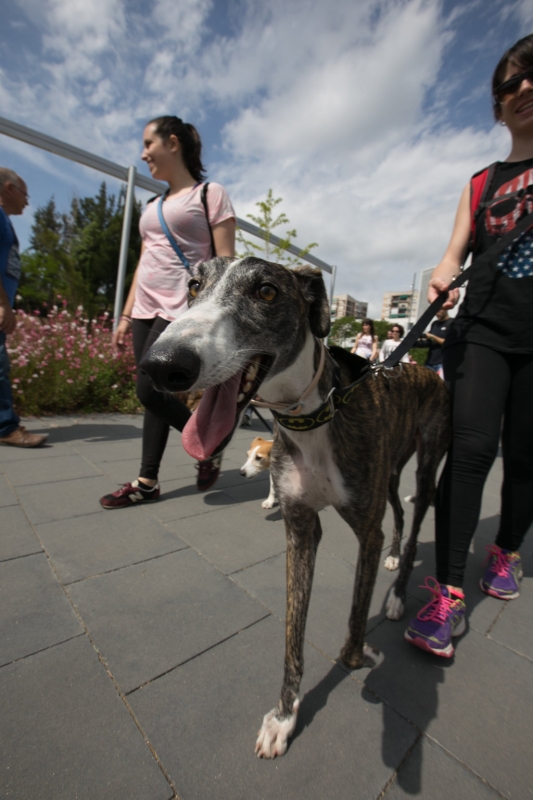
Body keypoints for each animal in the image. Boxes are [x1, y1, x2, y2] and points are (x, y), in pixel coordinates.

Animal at [140, 256, 450, 759]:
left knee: (417, 515)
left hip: (426, 465)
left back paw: (399, 594)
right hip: (389, 474)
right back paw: (394, 564)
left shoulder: (365, 530)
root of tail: (421, 370)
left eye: (266, 291)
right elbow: (293, 634)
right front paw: (284, 716)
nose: (162, 366)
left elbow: (354, 625)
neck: (312, 416)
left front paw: (362, 655)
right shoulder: (300, 527)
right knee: (399, 518)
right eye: (193, 285)